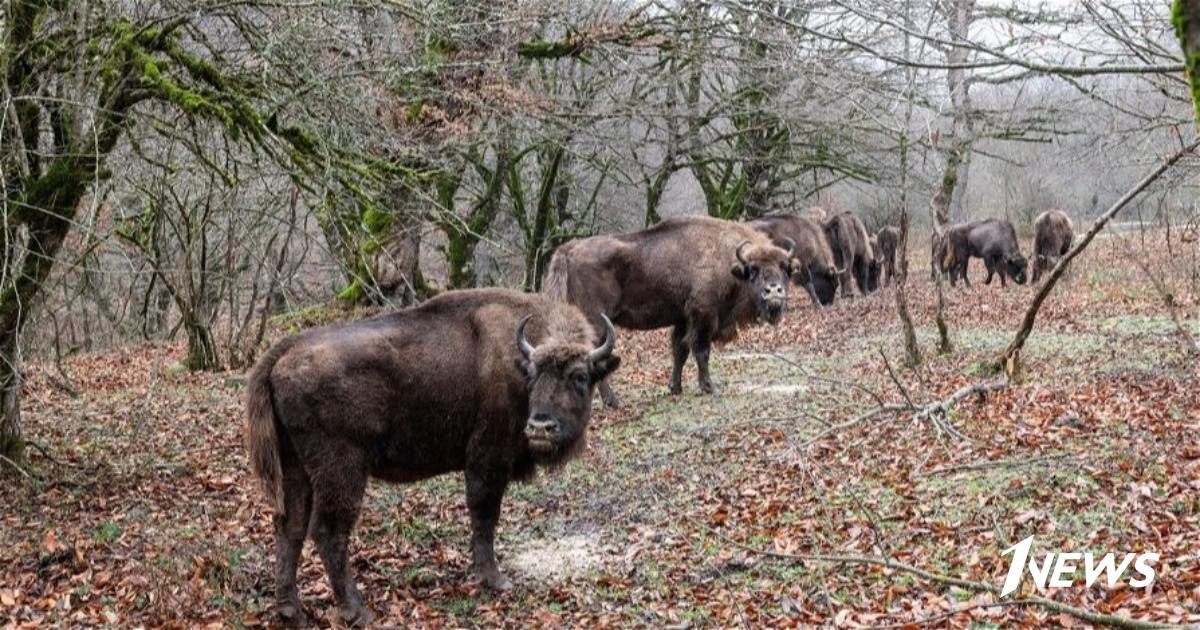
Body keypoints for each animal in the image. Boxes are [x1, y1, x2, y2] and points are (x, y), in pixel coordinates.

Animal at [243, 289, 619, 624]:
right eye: (534, 375)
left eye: (580, 376)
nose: (541, 427)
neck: (516, 358)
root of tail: (285, 351)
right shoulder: (487, 461)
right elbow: (485, 516)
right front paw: (494, 579)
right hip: (342, 470)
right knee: (328, 531)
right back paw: (356, 611)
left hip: (294, 467)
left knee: (289, 527)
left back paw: (290, 612)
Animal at [547, 216, 796, 403]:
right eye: (753, 270)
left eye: (784, 268)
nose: (774, 292)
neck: (728, 262)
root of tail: (569, 249)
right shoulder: (703, 316)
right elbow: (701, 351)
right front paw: (709, 387)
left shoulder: (683, 319)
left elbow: (680, 351)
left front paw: (675, 387)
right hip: (598, 323)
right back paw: (612, 400)